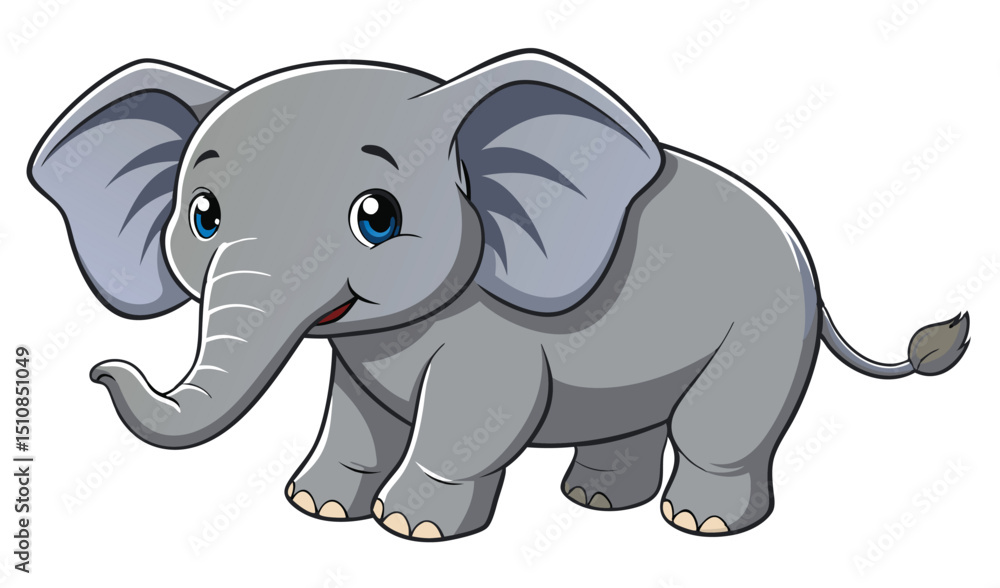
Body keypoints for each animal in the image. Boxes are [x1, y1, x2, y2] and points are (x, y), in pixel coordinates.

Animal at [28, 49, 970, 541]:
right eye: (203, 216)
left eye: (378, 217)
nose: (99, 370)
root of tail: (803, 247)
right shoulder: (359, 351)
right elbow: (356, 413)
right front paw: (319, 509)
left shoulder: (495, 335)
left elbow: (474, 417)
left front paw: (410, 532)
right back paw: (597, 505)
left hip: (767, 327)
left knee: (722, 429)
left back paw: (698, 525)